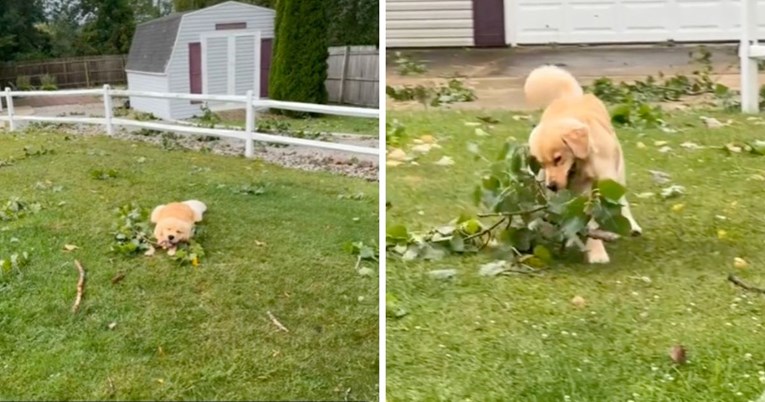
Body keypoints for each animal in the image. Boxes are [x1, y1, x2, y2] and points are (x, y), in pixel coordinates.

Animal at [524, 65, 640, 264]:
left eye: (558, 159)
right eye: (542, 163)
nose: (551, 186)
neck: (582, 163)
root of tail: (571, 96)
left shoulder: (604, 182)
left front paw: (597, 251)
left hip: (618, 171)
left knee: (622, 201)